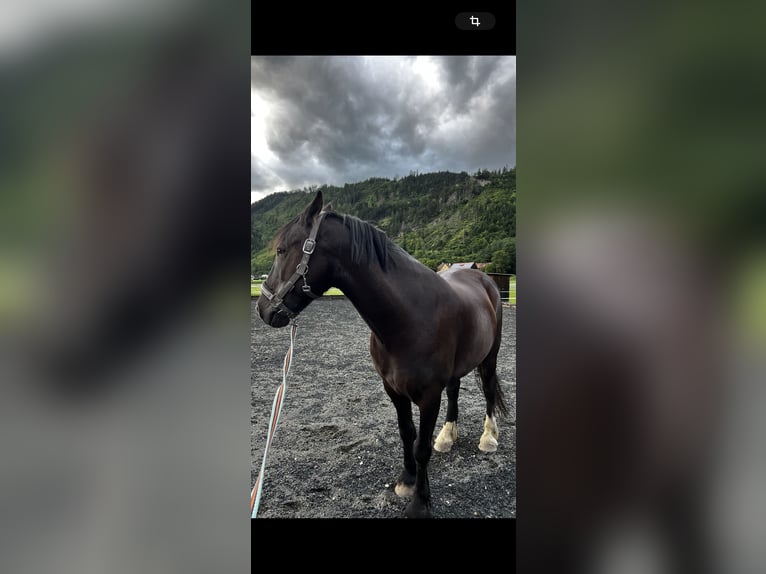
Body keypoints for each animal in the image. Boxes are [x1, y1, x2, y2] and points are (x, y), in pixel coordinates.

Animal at [256, 191, 510, 520]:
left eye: (282, 250)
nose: (262, 309)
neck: (408, 317)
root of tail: (486, 280)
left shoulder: (429, 396)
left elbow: (421, 447)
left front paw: (420, 503)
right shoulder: (393, 390)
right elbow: (407, 434)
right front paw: (407, 481)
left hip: (490, 355)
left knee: (489, 389)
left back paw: (488, 438)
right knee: (455, 391)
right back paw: (447, 436)